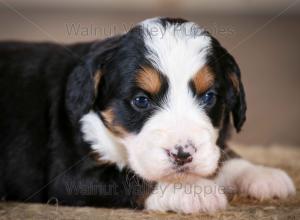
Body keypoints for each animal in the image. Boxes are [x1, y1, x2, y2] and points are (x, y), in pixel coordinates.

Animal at [0, 17, 296, 213]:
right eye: (141, 101)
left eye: (209, 97)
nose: (182, 154)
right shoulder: (71, 177)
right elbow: (134, 179)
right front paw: (191, 191)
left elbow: (223, 154)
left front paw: (259, 174)